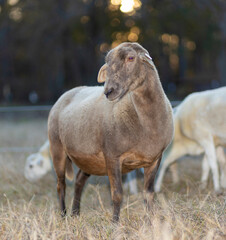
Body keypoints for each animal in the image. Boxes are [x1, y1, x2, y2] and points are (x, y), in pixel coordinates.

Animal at [48, 41, 174, 221]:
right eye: (107, 63)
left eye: (131, 58)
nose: (108, 91)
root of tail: (68, 92)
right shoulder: (112, 156)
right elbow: (117, 194)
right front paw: (115, 223)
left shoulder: (155, 159)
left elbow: (148, 193)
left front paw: (151, 221)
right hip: (57, 148)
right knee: (61, 185)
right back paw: (64, 216)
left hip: (88, 159)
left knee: (79, 181)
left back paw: (75, 213)